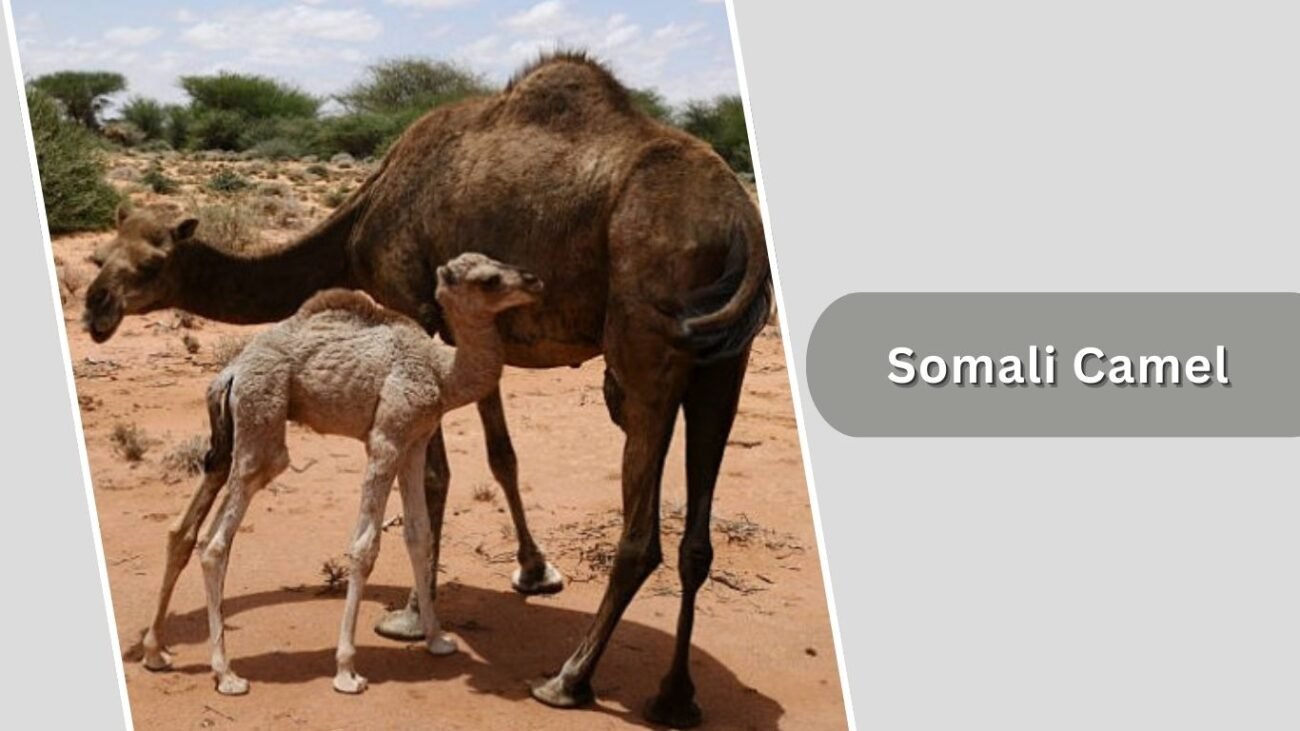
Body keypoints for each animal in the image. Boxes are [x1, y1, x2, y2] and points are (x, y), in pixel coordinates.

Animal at [145, 253, 543, 695]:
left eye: (499, 263)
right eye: (489, 280)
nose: (535, 281)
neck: (442, 372)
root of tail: (230, 371)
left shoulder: (415, 441)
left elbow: (418, 536)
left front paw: (437, 640)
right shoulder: (386, 439)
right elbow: (365, 547)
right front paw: (347, 670)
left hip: (234, 430)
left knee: (186, 529)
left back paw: (157, 652)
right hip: (263, 417)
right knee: (216, 542)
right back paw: (226, 674)